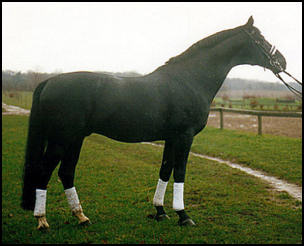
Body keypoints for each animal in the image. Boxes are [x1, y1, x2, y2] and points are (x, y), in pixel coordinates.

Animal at [21, 16, 288, 229]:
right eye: (260, 38)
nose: (282, 61)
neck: (190, 79)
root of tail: (50, 81)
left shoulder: (171, 138)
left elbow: (165, 170)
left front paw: (160, 212)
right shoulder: (184, 136)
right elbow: (179, 172)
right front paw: (183, 215)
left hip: (75, 140)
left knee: (66, 173)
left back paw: (81, 217)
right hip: (61, 140)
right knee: (44, 172)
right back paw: (42, 220)